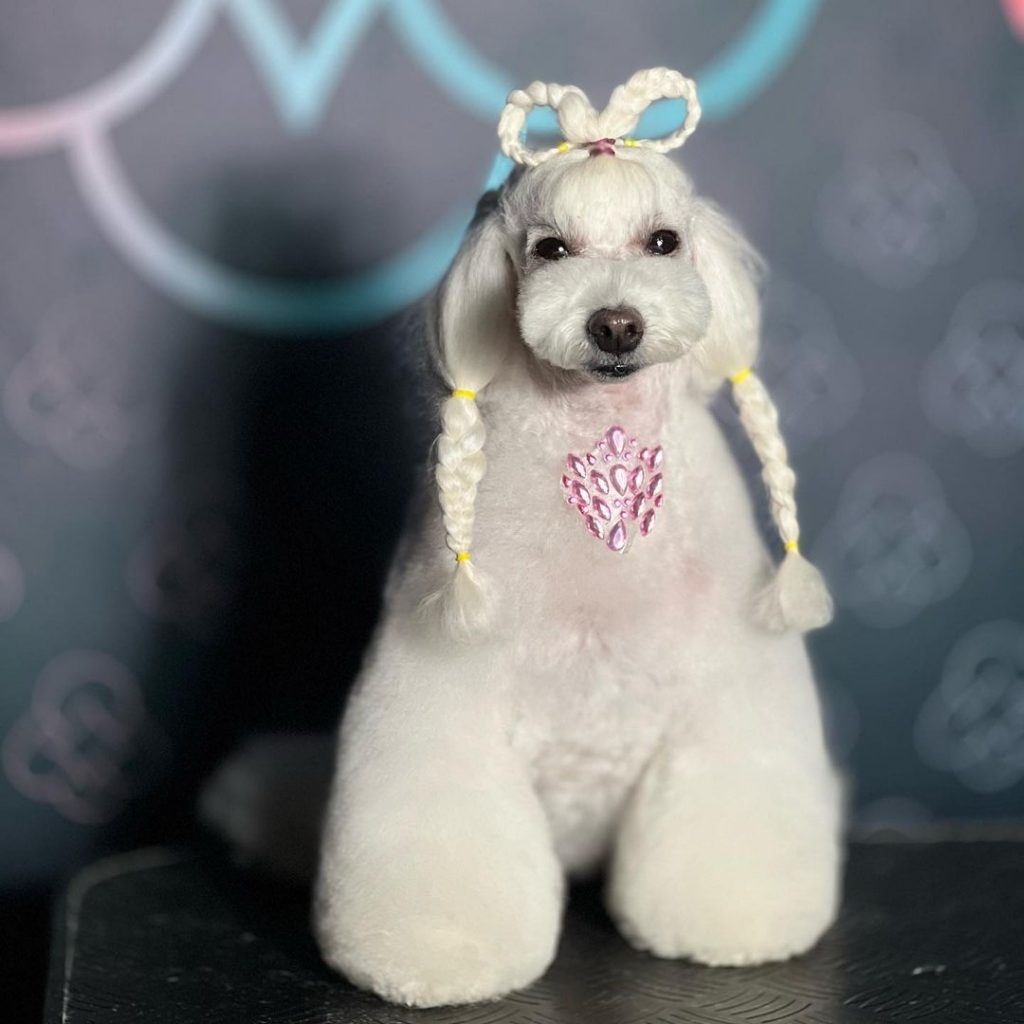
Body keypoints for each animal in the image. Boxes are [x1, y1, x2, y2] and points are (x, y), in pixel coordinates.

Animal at [201, 70, 839, 1007]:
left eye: (664, 241)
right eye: (550, 249)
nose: (616, 323)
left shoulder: (729, 692)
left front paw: (730, 922)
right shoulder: (436, 695)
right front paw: (432, 953)